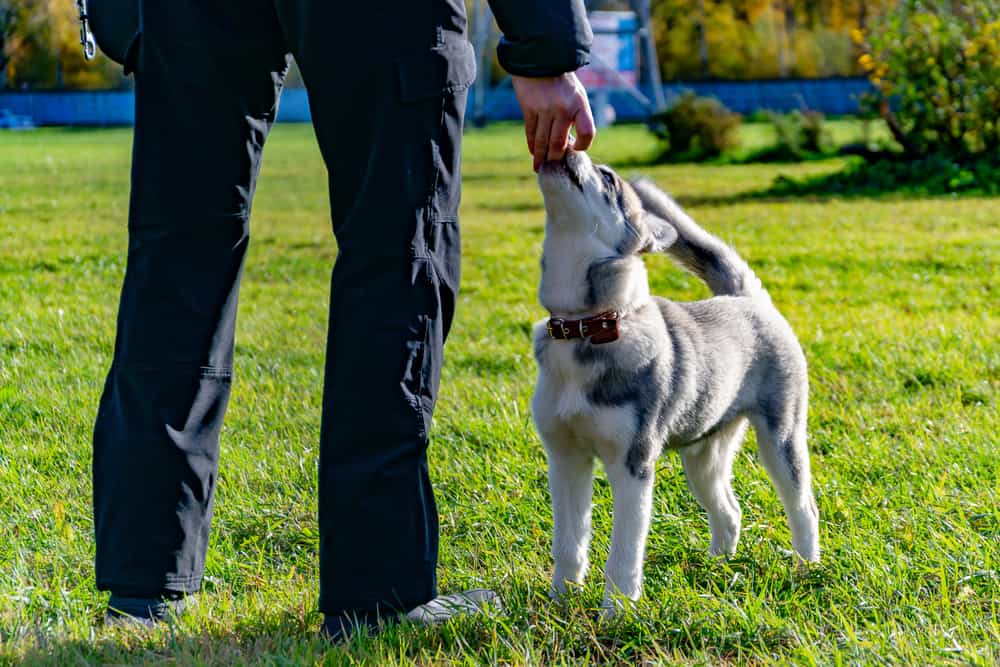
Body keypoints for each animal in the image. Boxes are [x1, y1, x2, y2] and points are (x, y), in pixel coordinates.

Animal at [532, 149, 820, 620]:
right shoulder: (565, 458)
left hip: (781, 439)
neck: (584, 326)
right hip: (703, 456)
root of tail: (744, 298)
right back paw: (719, 567)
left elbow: (623, 552)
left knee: (804, 506)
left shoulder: (632, 464)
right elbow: (569, 543)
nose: (570, 147)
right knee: (730, 510)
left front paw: (616, 613)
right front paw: (561, 601)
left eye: (607, 177)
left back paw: (807, 569)